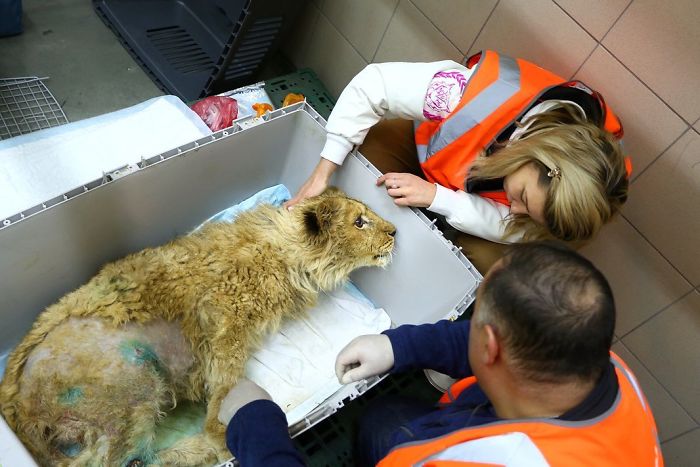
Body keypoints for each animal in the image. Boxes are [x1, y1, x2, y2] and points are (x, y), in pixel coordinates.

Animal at [0, 187, 396, 466]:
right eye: (360, 222)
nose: (394, 230)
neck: (288, 252)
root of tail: (15, 403)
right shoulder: (224, 317)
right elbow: (224, 383)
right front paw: (224, 431)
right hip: (133, 384)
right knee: (130, 462)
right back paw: (205, 447)